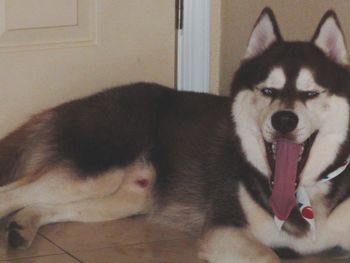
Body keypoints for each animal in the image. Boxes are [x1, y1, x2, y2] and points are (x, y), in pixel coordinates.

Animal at [0, 7, 350, 262]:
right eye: (268, 90)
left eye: (310, 93)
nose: (284, 120)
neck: (302, 192)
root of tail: (67, 106)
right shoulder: (224, 231)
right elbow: (269, 255)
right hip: (94, 174)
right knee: (11, 194)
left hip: (124, 199)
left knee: (45, 205)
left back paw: (23, 225)